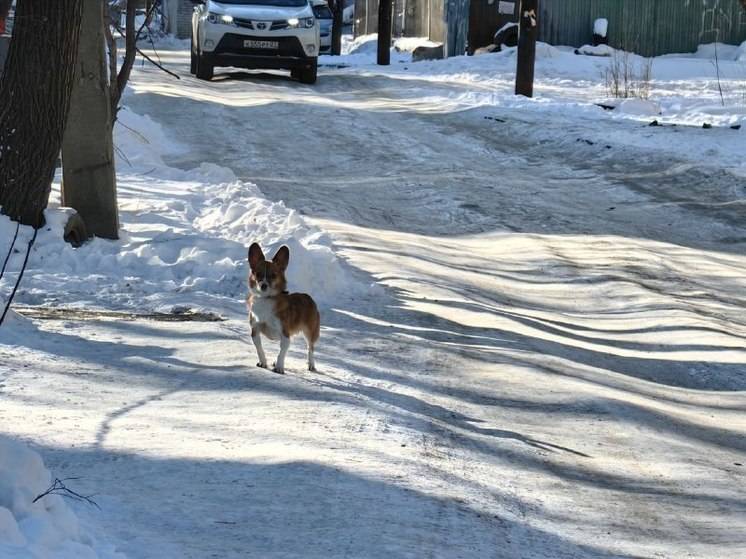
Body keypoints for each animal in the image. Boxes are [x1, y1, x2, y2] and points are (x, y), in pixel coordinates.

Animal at [246, 243, 318, 374]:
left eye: (273, 275)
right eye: (258, 274)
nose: (263, 286)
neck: (266, 299)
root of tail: (308, 297)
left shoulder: (285, 334)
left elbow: (282, 353)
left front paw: (279, 367)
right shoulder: (255, 330)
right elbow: (259, 348)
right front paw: (263, 362)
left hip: (310, 332)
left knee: (310, 348)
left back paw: (311, 365)